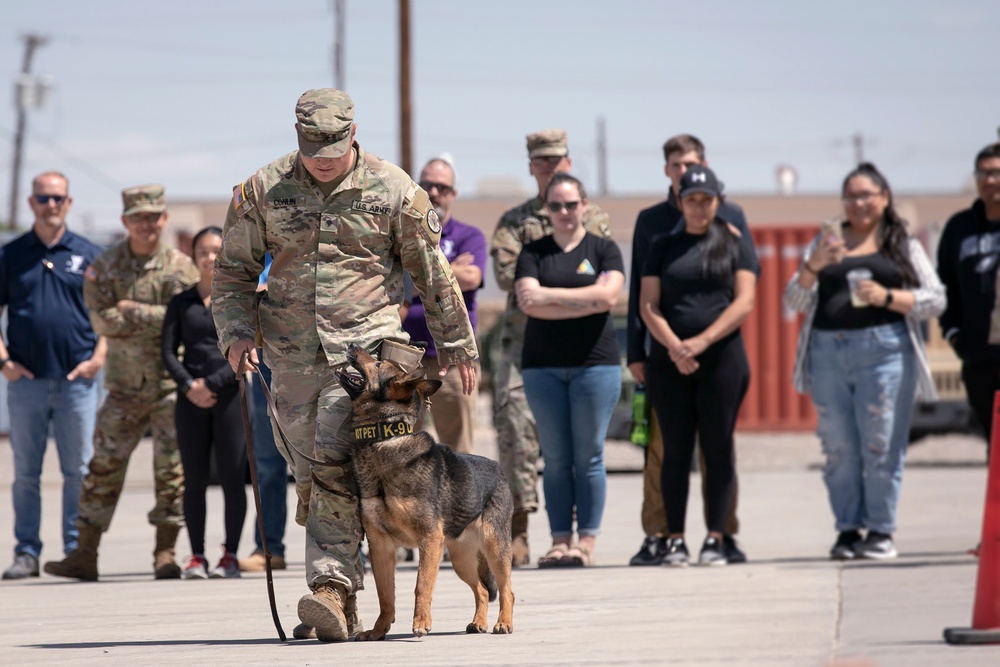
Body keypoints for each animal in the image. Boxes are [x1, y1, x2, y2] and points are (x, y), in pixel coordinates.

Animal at [338, 342, 516, 640]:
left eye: (377, 363)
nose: (351, 345)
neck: (384, 438)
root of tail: (499, 469)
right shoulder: (380, 545)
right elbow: (385, 595)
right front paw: (379, 629)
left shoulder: (429, 539)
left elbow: (421, 584)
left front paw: (421, 622)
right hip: (460, 558)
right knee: (481, 589)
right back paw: (478, 622)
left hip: (494, 547)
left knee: (507, 590)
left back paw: (504, 623)